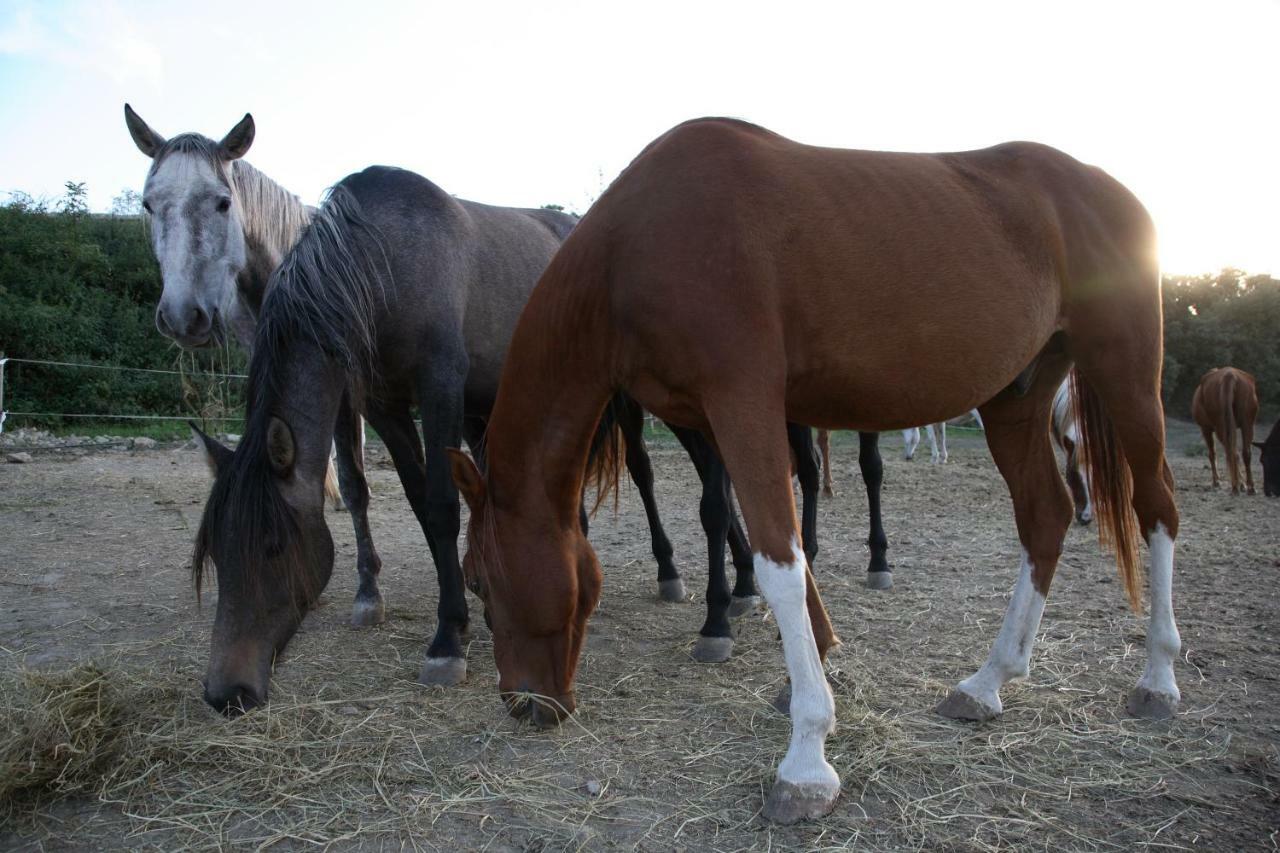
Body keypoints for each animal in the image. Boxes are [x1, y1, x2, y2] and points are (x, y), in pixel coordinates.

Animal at [1187, 363, 1259, 491]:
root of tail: (1229, 376)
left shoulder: (1206, 428)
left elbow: (1212, 454)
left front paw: (1217, 481)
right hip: (1247, 424)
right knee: (1244, 453)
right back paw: (1249, 487)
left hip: (1220, 427)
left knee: (1231, 452)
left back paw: (1237, 486)